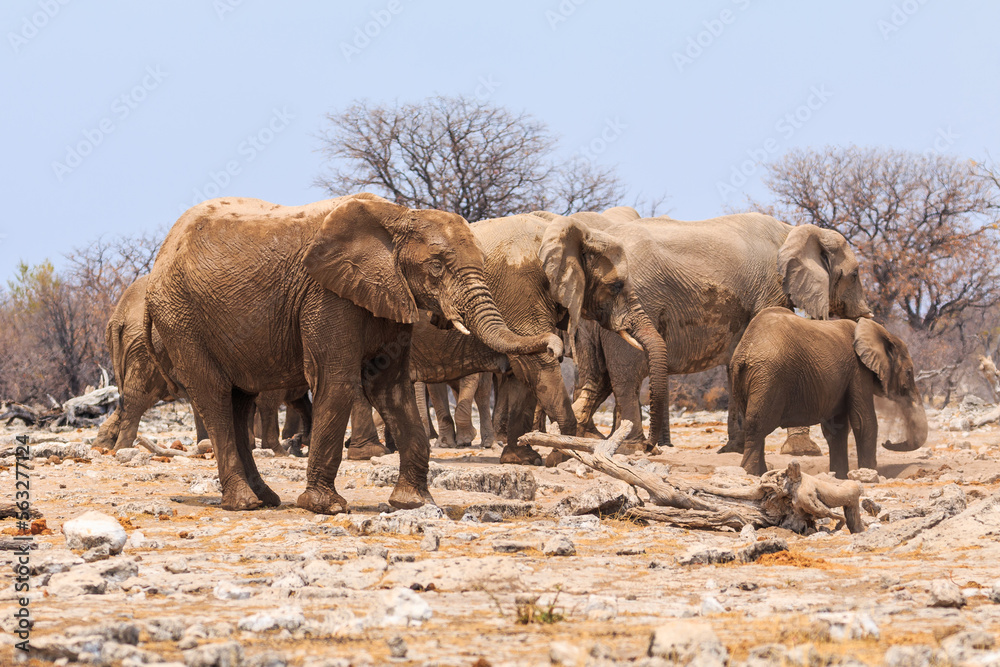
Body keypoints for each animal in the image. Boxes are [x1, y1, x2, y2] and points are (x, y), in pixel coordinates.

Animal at [94, 275, 307, 454]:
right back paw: (122, 448)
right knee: (137, 397)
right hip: (148, 347)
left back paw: (103, 445)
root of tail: (119, 315)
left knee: (130, 397)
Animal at [144, 193, 560, 513]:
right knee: (214, 396)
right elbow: (338, 381)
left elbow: (391, 388)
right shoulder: (327, 294)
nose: (555, 345)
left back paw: (267, 499)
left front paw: (414, 503)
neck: (396, 217)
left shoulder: (388, 293)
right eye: (436, 266)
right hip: (181, 318)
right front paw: (325, 507)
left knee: (240, 399)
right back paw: (244, 503)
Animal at [571, 211, 872, 451]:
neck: (793, 231)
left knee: (596, 378)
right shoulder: (771, 288)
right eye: (855, 274)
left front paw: (734, 448)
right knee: (626, 377)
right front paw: (803, 452)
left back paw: (589, 440)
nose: (867, 314)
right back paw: (631, 446)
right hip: (634, 299)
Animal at [730, 307, 927, 478]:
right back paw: (750, 473)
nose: (888, 442)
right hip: (768, 376)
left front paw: (840, 476)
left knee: (754, 426)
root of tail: (744, 351)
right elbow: (864, 421)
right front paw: (870, 474)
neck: (880, 332)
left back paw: (761, 473)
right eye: (909, 372)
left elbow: (837, 428)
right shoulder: (858, 370)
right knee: (758, 425)